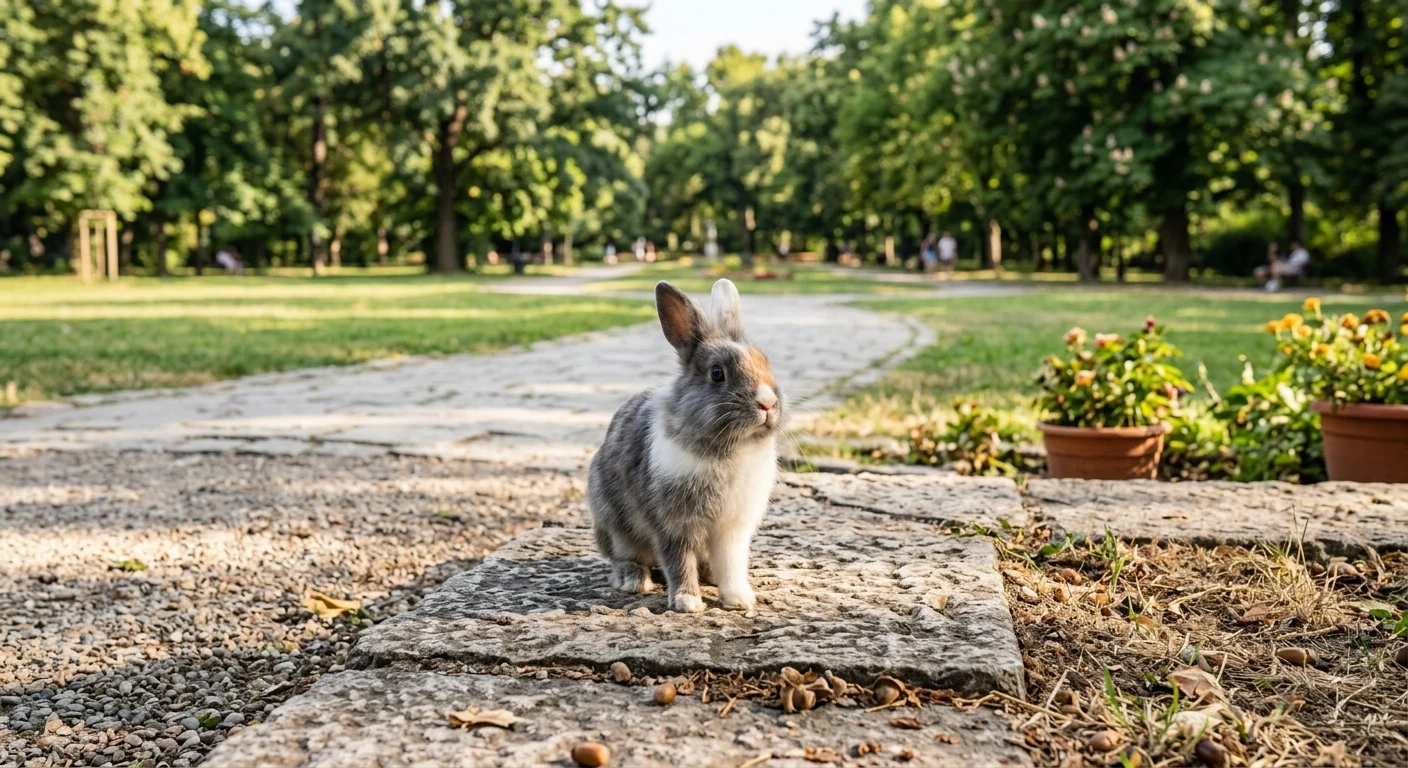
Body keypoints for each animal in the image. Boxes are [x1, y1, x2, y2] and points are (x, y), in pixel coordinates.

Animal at [588, 278, 783, 614]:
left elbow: (731, 564)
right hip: (614, 525)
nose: (767, 403)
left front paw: (739, 599)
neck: (731, 448)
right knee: (623, 557)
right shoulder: (673, 524)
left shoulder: (732, 531)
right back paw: (634, 580)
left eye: (765, 362)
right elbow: (678, 561)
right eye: (717, 373)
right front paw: (687, 602)